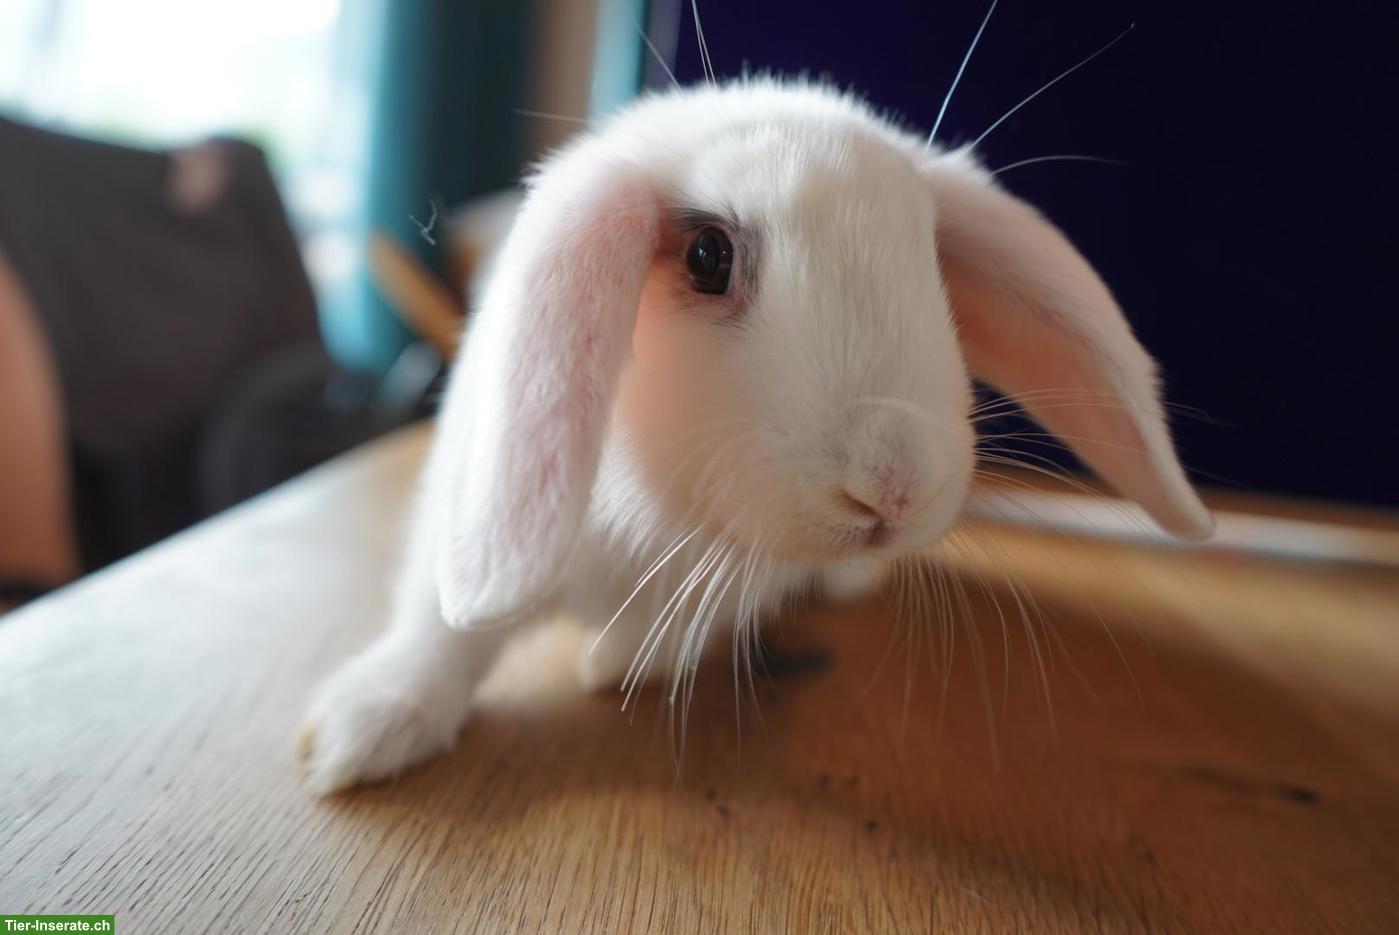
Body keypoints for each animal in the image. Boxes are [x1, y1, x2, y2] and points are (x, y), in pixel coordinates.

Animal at [297, 78, 1213, 794]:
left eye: (930, 260)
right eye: (707, 255)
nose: (894, 481)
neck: (664, 519)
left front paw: (621, 660)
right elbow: (443, 629)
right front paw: (355, 733)